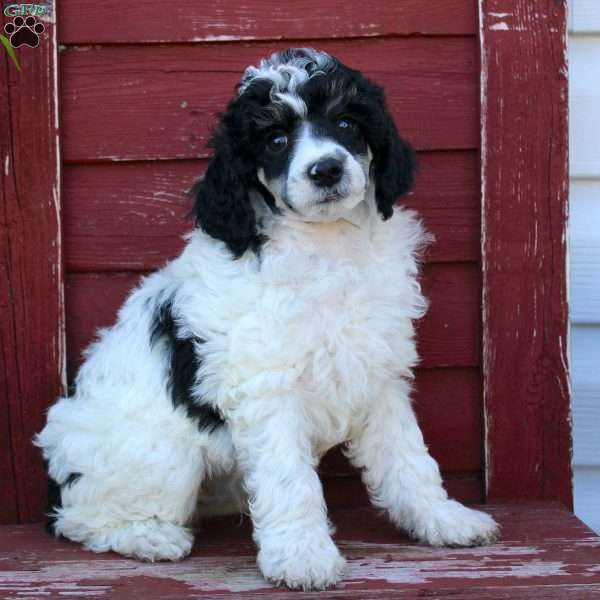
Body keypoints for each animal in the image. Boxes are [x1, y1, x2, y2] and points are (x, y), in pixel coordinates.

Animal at [35, 47, 500, 592]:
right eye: (275, 140)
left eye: (347, 123)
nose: (326, 169)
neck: (327, 246)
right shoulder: (267, 387)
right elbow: (290, 480)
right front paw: (303, 557)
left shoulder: (378, 374)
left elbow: (409, 458)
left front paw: (444, 520)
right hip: (159, 454)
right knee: (78, 519)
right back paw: (151, 537)